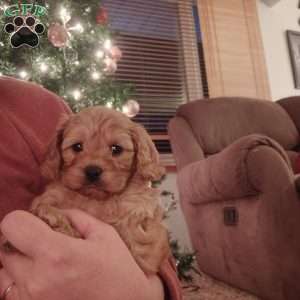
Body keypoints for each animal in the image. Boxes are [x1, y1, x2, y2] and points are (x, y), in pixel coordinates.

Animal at [30, 106, 171, 276]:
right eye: (77, 147)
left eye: (116, 149)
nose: (92, 171)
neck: (95, 200)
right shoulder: (50, 196)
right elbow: (42, 205)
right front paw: (56, 220)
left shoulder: (140, 214)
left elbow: (141, 246)